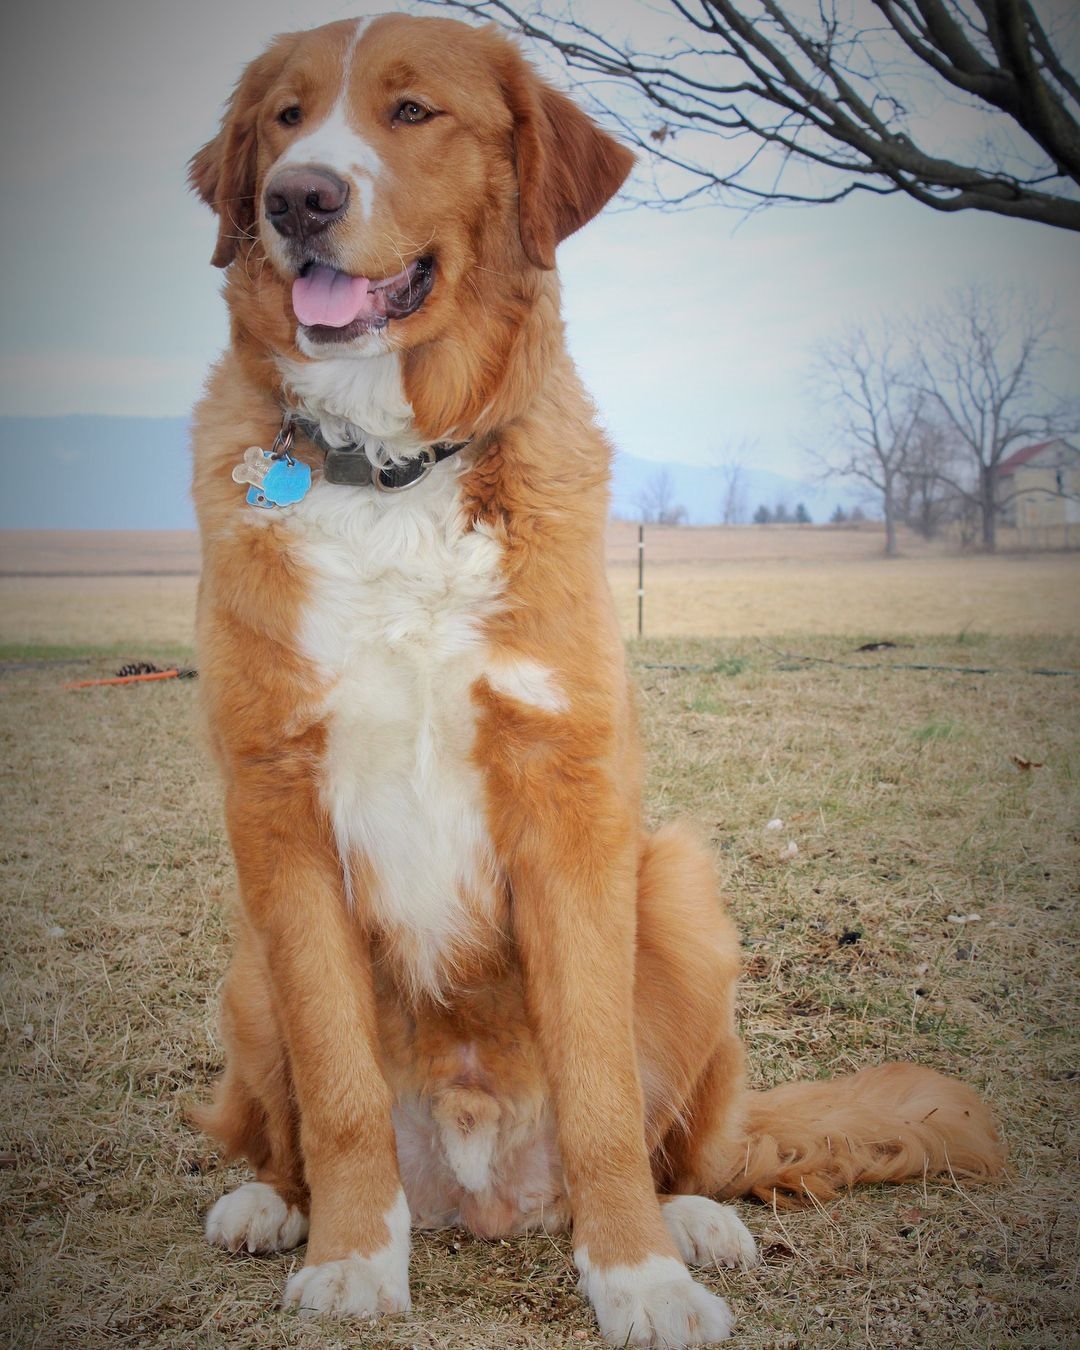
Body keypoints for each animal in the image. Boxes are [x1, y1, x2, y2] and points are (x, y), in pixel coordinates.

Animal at [187, 13, 1004, 1350]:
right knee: (282, 1130)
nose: (295, 198)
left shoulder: (571, 806)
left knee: (693, 1149)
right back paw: (272, 1205)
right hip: (250, 966)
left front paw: (637, 1276)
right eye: (283, 117)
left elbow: (603, 1092)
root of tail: (482, 1196)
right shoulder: (279, 810)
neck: (395, 468)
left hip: (677, 898)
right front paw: (354, 1257)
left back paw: (694, 1222)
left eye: (411, 111)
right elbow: (340, 1088)